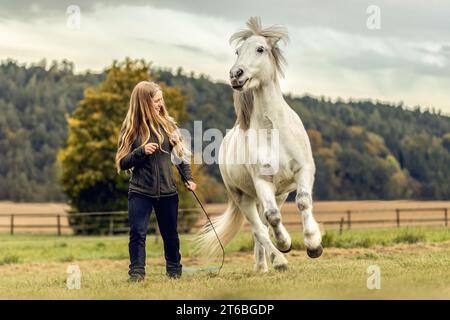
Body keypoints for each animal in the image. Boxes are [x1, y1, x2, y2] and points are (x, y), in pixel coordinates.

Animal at [196, 16, 320, 272]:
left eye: (260, 49)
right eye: (237, 51)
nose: (236, 74)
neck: (273, 129)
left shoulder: (304, 169)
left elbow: (303, 202)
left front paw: (314, 244)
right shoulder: (262, 181)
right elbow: (273, 218)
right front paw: (285, 245)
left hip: (278, 194)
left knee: (261, 226)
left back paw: (263, 265)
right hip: (243, 198)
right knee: (259, 228)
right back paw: (275, 262)